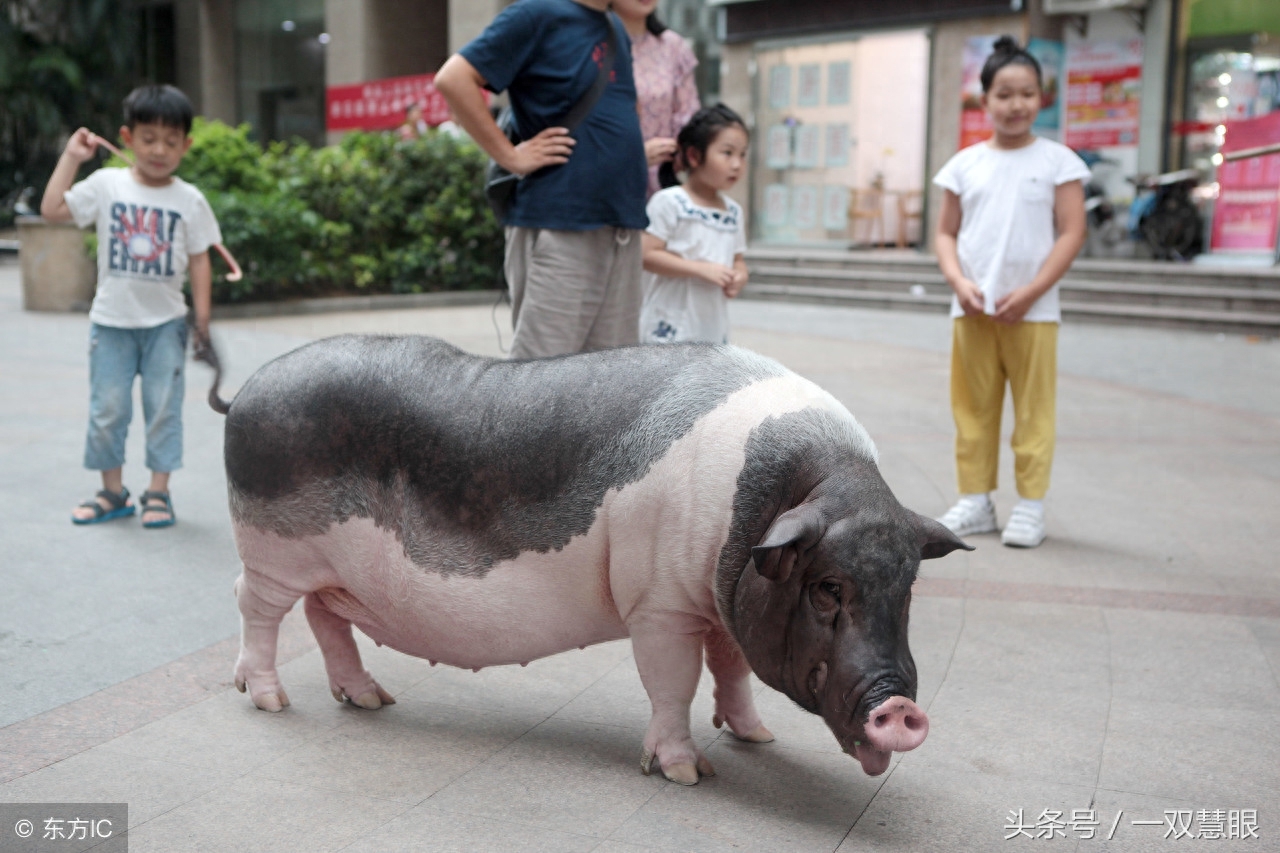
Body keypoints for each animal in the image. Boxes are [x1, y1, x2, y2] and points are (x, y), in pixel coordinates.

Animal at [217, 333, 967, 783]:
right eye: (827, 587)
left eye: (908, 585)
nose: (901, 706)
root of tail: (248, 389)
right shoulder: (660, 604)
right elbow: (673, 681)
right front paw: (687, 773)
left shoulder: (717, 599)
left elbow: (731, 668)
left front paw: (758, 740)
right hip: (271, 548)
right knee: (255, 607)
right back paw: (270, 700)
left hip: (330, 572)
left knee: (325, 618)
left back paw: (371, 698)